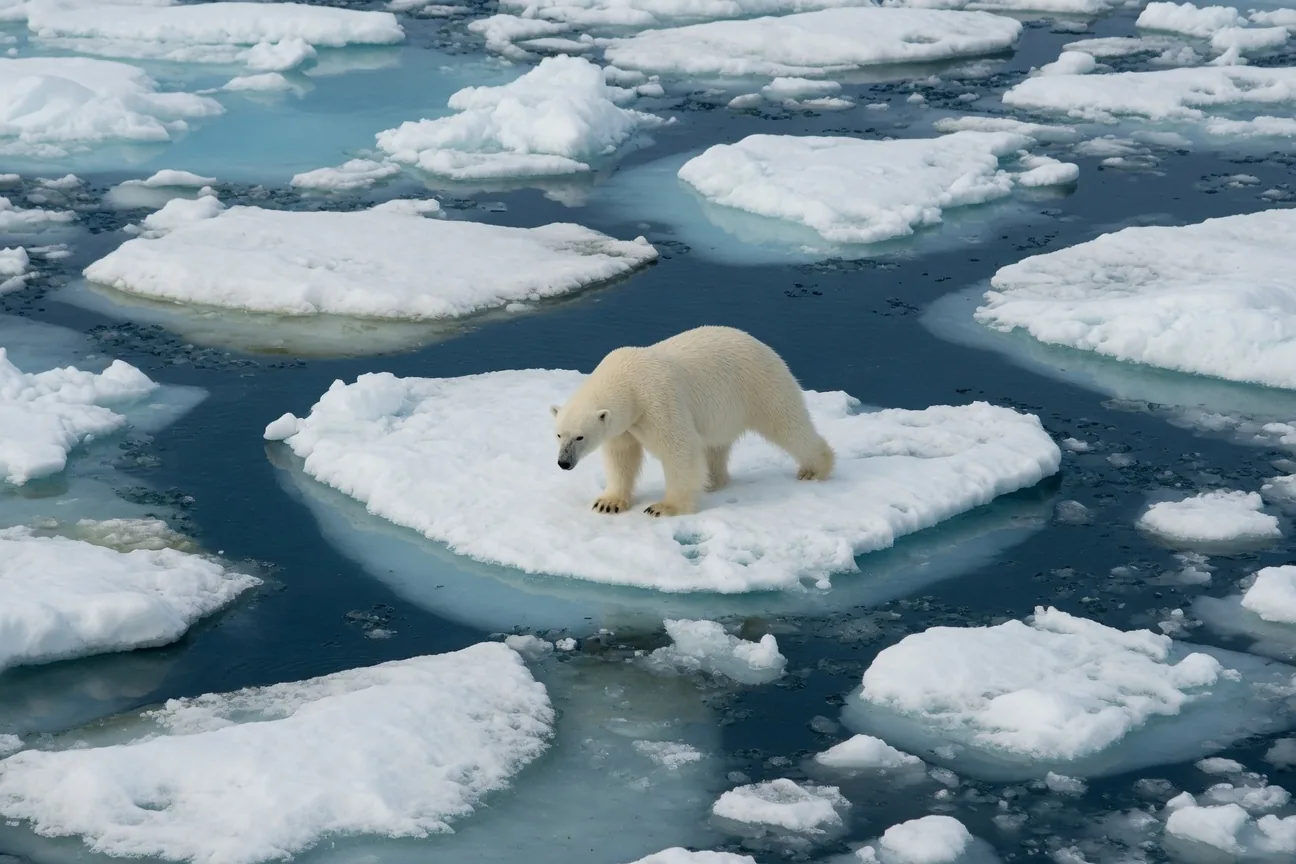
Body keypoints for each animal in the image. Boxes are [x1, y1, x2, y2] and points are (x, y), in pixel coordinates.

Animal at [550, 325, 835, 517]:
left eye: (580, 437)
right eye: (559, 434)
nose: (563, 463)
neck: (627, 380)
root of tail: (764, 345)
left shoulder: (657, 400)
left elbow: (679, 449)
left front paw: (663, 507)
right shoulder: (626, 424)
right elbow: (622, 456)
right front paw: (608, 503)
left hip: (760, 386)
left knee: (787, 424)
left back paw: (814, 468)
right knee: (715, 447)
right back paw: (712, 481)